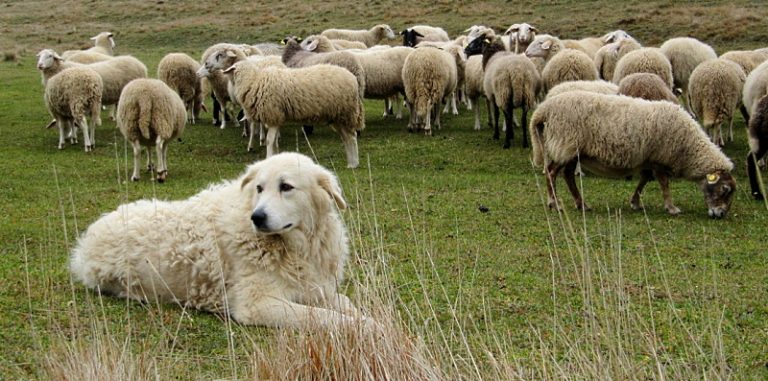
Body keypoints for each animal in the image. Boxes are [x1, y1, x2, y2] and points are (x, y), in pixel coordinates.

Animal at [69, 151, 364, 326]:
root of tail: (87, 238)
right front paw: (364, 328)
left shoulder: (314, 288)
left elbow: (344, 304)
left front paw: (365, 318)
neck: (295, 247)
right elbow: (328, 318)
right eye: (259, 188)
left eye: (286, 187)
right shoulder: (257, 305)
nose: (257, 217)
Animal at [224, 60, 364, 168]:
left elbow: (270, 141)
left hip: (346, 113)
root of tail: (353, 78)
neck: (253, 81)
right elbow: (274, 142)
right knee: (346, 138)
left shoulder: (273, 115)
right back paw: (351, 162)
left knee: (352, 137)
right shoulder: (277, 118)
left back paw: (354, 163)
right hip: (337, 117)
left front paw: (269, 158)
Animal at [528, 90, 736, 218]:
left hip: (572, 150)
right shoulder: (659, 158)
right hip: (566, 145)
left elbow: (644, 180)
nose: (720, 215)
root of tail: (544, 109)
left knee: (568, 176)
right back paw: (554, 204)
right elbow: (664, 184)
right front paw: (671, 207)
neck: (689, 148)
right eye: (725, 190)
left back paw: (581, 204)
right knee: (551, 173)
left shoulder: (648, 159)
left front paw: (635, 202)